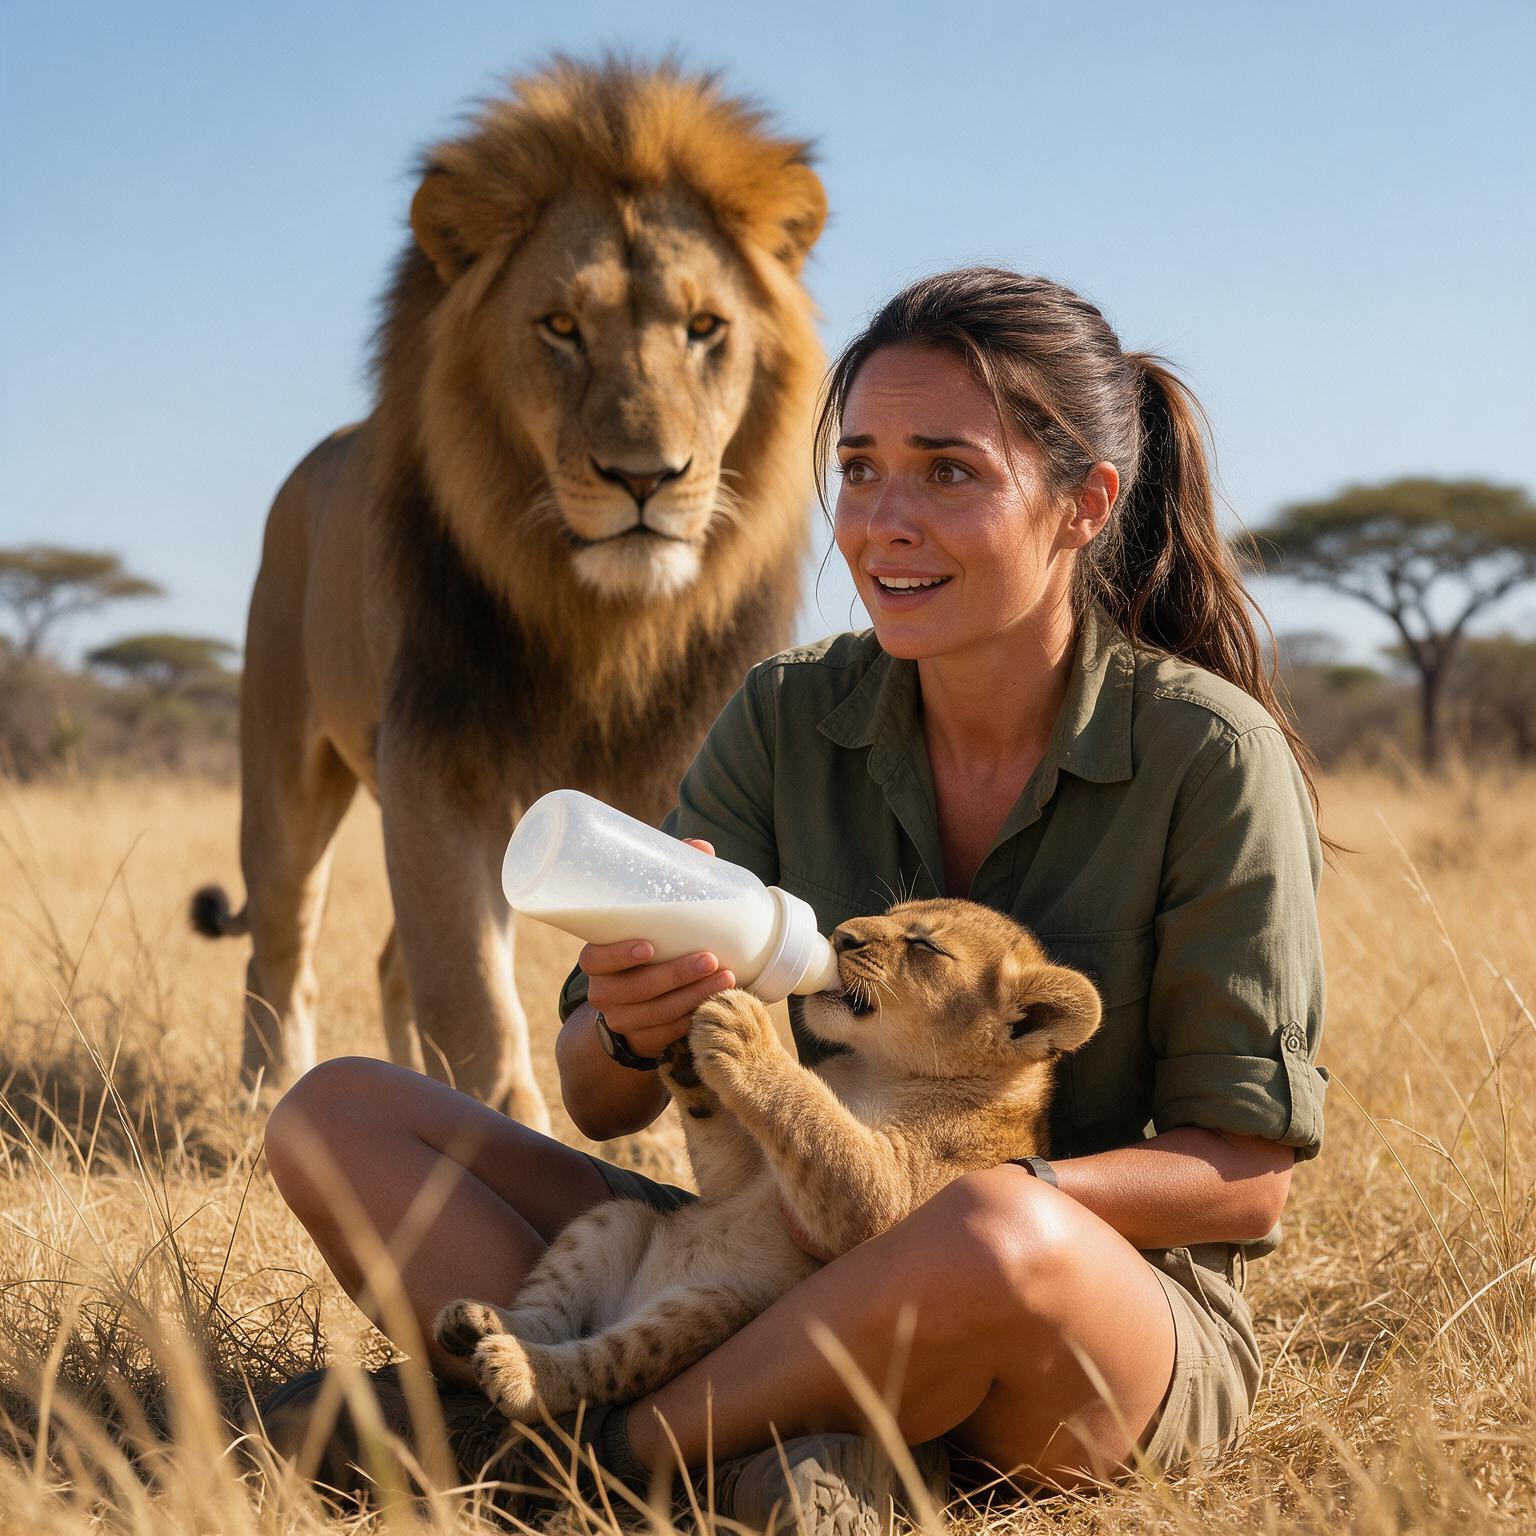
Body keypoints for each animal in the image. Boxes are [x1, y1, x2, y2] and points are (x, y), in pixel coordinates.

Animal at [190, 60, 827, 1130]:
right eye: (561, 328)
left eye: (706, 329)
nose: (646, 476)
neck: (602, 625)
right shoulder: (436, 762)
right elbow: (473, 994)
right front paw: (499, 1123)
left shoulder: (674, 766)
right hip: (283, 775)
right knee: (281, 944)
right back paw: (261, 1095)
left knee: (385, 962)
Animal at [434, 898, 1103, 1419]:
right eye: (890, 915)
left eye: (924, 945)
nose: (841, 937)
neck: (881, 1070)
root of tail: (627, 1302)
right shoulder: (746, 1176)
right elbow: (735, 1159)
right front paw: (682, 1053)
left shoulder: (890, 1205)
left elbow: (819, 1124)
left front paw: (746, 1029)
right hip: (614, 1220)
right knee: (553, 1313)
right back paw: (478, 1323)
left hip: (714, 1307)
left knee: (602, 1362)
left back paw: (520, 1371)